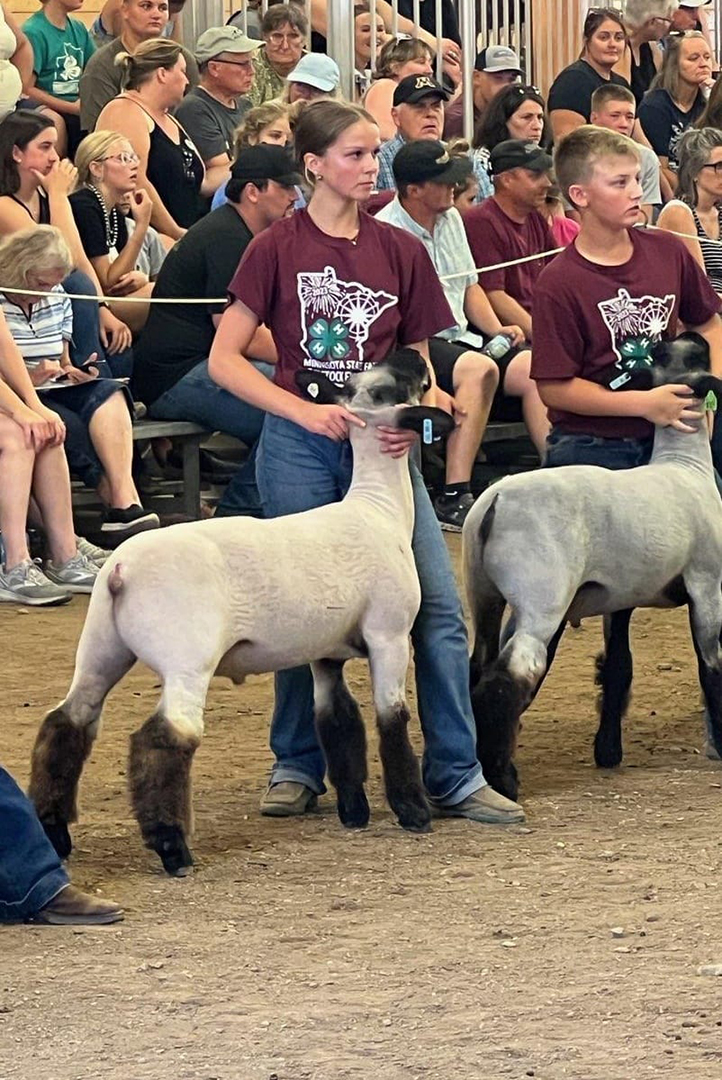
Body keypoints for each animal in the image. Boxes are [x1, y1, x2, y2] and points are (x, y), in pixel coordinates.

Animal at [33, 354, 453, 876]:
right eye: (388, 387)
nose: (415, 358)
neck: (380, 509)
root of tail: (120, 571)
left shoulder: (326, 654)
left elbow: (339, 724)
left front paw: (354, 811)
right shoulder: (389, 635)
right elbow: (391, 720)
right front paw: (413, 810)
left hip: (100, 649)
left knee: (66, 723)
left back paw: (55, 832)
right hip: (186, 658)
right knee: (163, 739)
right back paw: (173, 848)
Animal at [461, 336, 720, 803]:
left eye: (664, 351)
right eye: (692, 354)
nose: (696, 335)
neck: (683, 465)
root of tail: (495, 500)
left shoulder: (621, 597)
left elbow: (618, 666)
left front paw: (608, 751)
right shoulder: (707, 585)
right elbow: (710, 665)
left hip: (484, 594)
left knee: (478, 669)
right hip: (541, 601)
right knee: (507, 679)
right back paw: (504, 779)